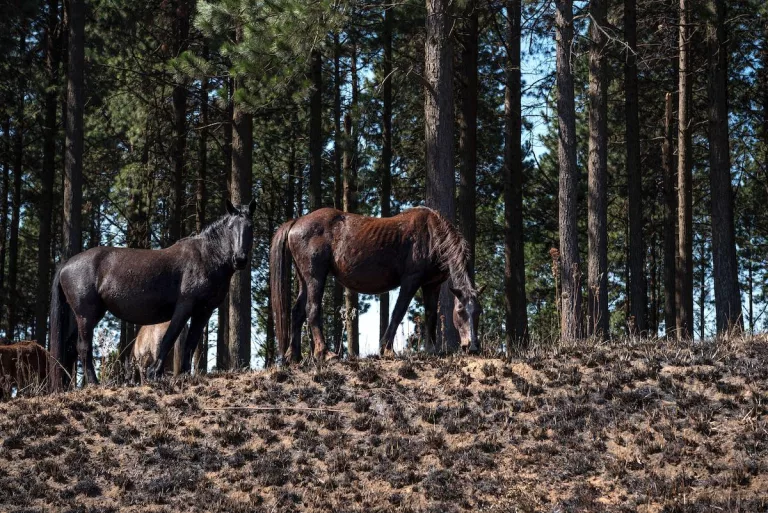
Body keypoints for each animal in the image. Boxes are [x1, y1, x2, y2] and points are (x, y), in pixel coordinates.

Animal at [270, 206, 484, 362]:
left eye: (478, 311)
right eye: (460, 311)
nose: (473, 346)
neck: (432, 235)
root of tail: (296, 222)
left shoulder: (432, 285)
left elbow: (431, 314)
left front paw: (431, 349)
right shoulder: (411, 280)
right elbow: (398, 312)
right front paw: (386, 349)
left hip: (304, 279)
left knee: (297, 311)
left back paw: (293, 356)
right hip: (316, 277)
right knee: (312, 309)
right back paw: (325, 353)